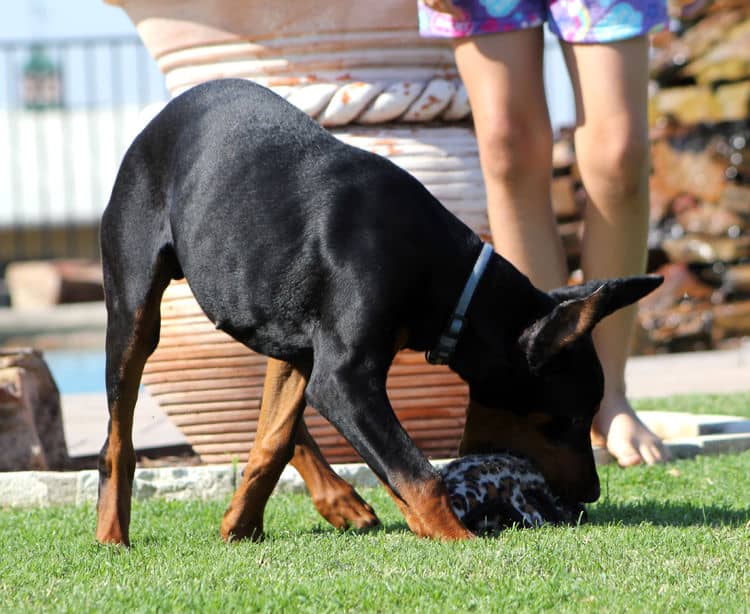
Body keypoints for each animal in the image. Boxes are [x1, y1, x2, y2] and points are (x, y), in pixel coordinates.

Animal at [97, 78, 660, 548]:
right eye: (567, 420)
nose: (591, 492)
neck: (451, 281)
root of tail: (160, 116)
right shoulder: (344, 378)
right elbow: (416, 471)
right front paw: (458, 537)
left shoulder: (314, 355)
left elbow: (277, 438)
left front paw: (240, 523)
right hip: (134, 309)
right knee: (117, 436)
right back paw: (111, 533)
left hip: (278, 324)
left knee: (277, 424)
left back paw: (335, 502)